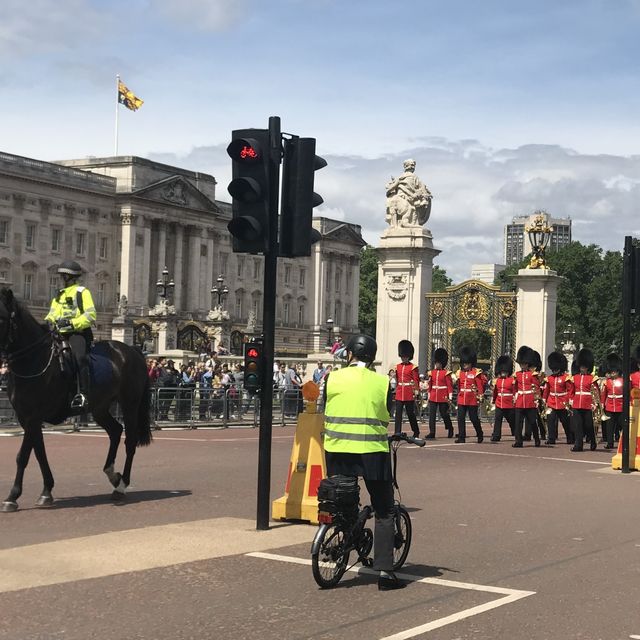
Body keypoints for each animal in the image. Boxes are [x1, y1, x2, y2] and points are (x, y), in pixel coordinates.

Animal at [0, 288, 151, 512]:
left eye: (1, 318)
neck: (34, 360)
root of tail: (133, 350)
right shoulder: (26, 418)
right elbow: (39, 452)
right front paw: (46, 491)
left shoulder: (33, 417)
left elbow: (23, 456)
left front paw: (12, 496)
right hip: (99, 407)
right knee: (115, 431)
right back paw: (113, 475)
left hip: (129, 404)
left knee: (130, 441)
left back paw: (121, 486)